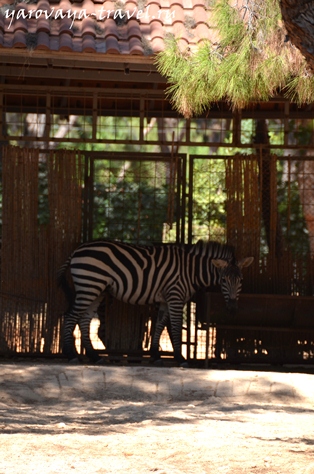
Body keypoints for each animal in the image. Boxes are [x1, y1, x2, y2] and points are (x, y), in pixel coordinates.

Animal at [57, 241, 254, 366]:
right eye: (223, 280)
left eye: (241, 280)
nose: (232, 309)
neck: (191, 271)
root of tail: (77, 250)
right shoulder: (175, 296)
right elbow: (175, 327)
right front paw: (180, 358)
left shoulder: (166, 300)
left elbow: (159, 326)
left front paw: (155, 355)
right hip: (89, 285)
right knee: (70, 316)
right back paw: (70, 355)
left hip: (97, 289)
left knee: (84, 320)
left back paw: (94, 356)